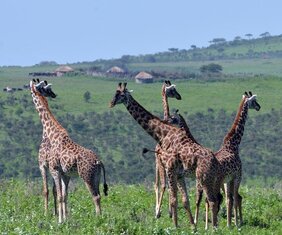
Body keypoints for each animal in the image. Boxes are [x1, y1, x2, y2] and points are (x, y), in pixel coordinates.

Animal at [29, 80, 107, 223]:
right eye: (47, 90)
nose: (54, 95)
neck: (50, 134)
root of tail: (99, 162)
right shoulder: (65, 174)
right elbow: (64, 196)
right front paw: (65, 219)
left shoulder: (51, 168)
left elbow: (56, 194)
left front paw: (58, 220)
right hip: (96, 177)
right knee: (99, 195)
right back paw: (101, 218)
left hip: (86, 176)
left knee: (95, 196)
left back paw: (97, 220)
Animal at [109, 82, 219, 228]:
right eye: (114, 93)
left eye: (120, 95)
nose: (111, 103)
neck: (163, 134)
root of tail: (215, 161)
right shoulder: (179, 174)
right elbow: (184, 200)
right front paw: (192, 227)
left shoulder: (170, 168)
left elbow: (172, 198)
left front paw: (175, 226)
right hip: (208, 178)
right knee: (213, 199)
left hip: (204, 178)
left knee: (212, 200)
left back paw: (214, 228)